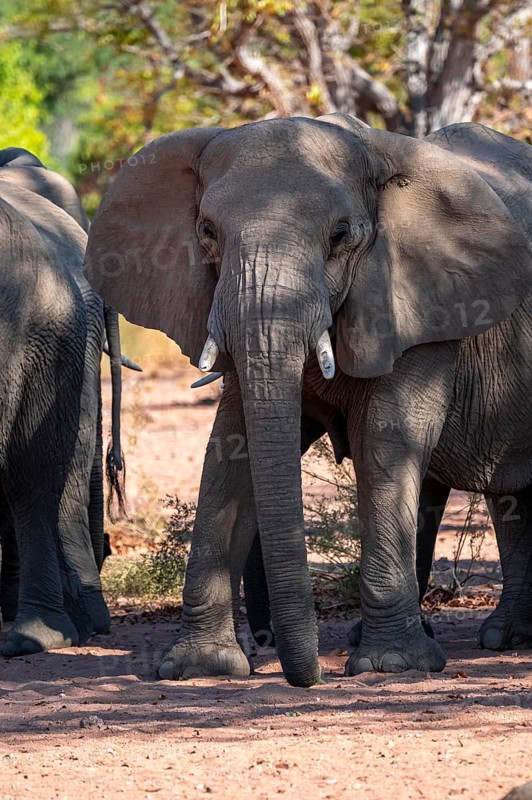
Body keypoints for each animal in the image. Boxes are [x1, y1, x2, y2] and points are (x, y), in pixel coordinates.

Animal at [85, 115, 532, 687]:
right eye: (207, 232)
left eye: (340, 236)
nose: (310, 673)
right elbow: (231, 447)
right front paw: (198, 667)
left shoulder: (422, 303)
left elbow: (385, 440)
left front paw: (390, 665)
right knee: (510, 494)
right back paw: (506, 636)